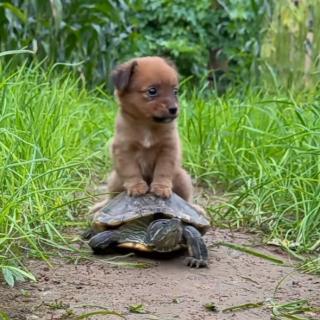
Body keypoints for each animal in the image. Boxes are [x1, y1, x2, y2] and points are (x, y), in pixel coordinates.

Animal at [92, 56, 192, 211]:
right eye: (152, 91)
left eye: (175, 91)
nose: (174, 109)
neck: (147, 126)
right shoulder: (124, 150)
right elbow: (131, 170)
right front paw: (137, 187)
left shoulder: (168, 149)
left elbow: (163, 170)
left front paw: (161, 187)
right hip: (115, 180)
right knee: (111, 197)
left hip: (182, 178)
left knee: (187, 199)